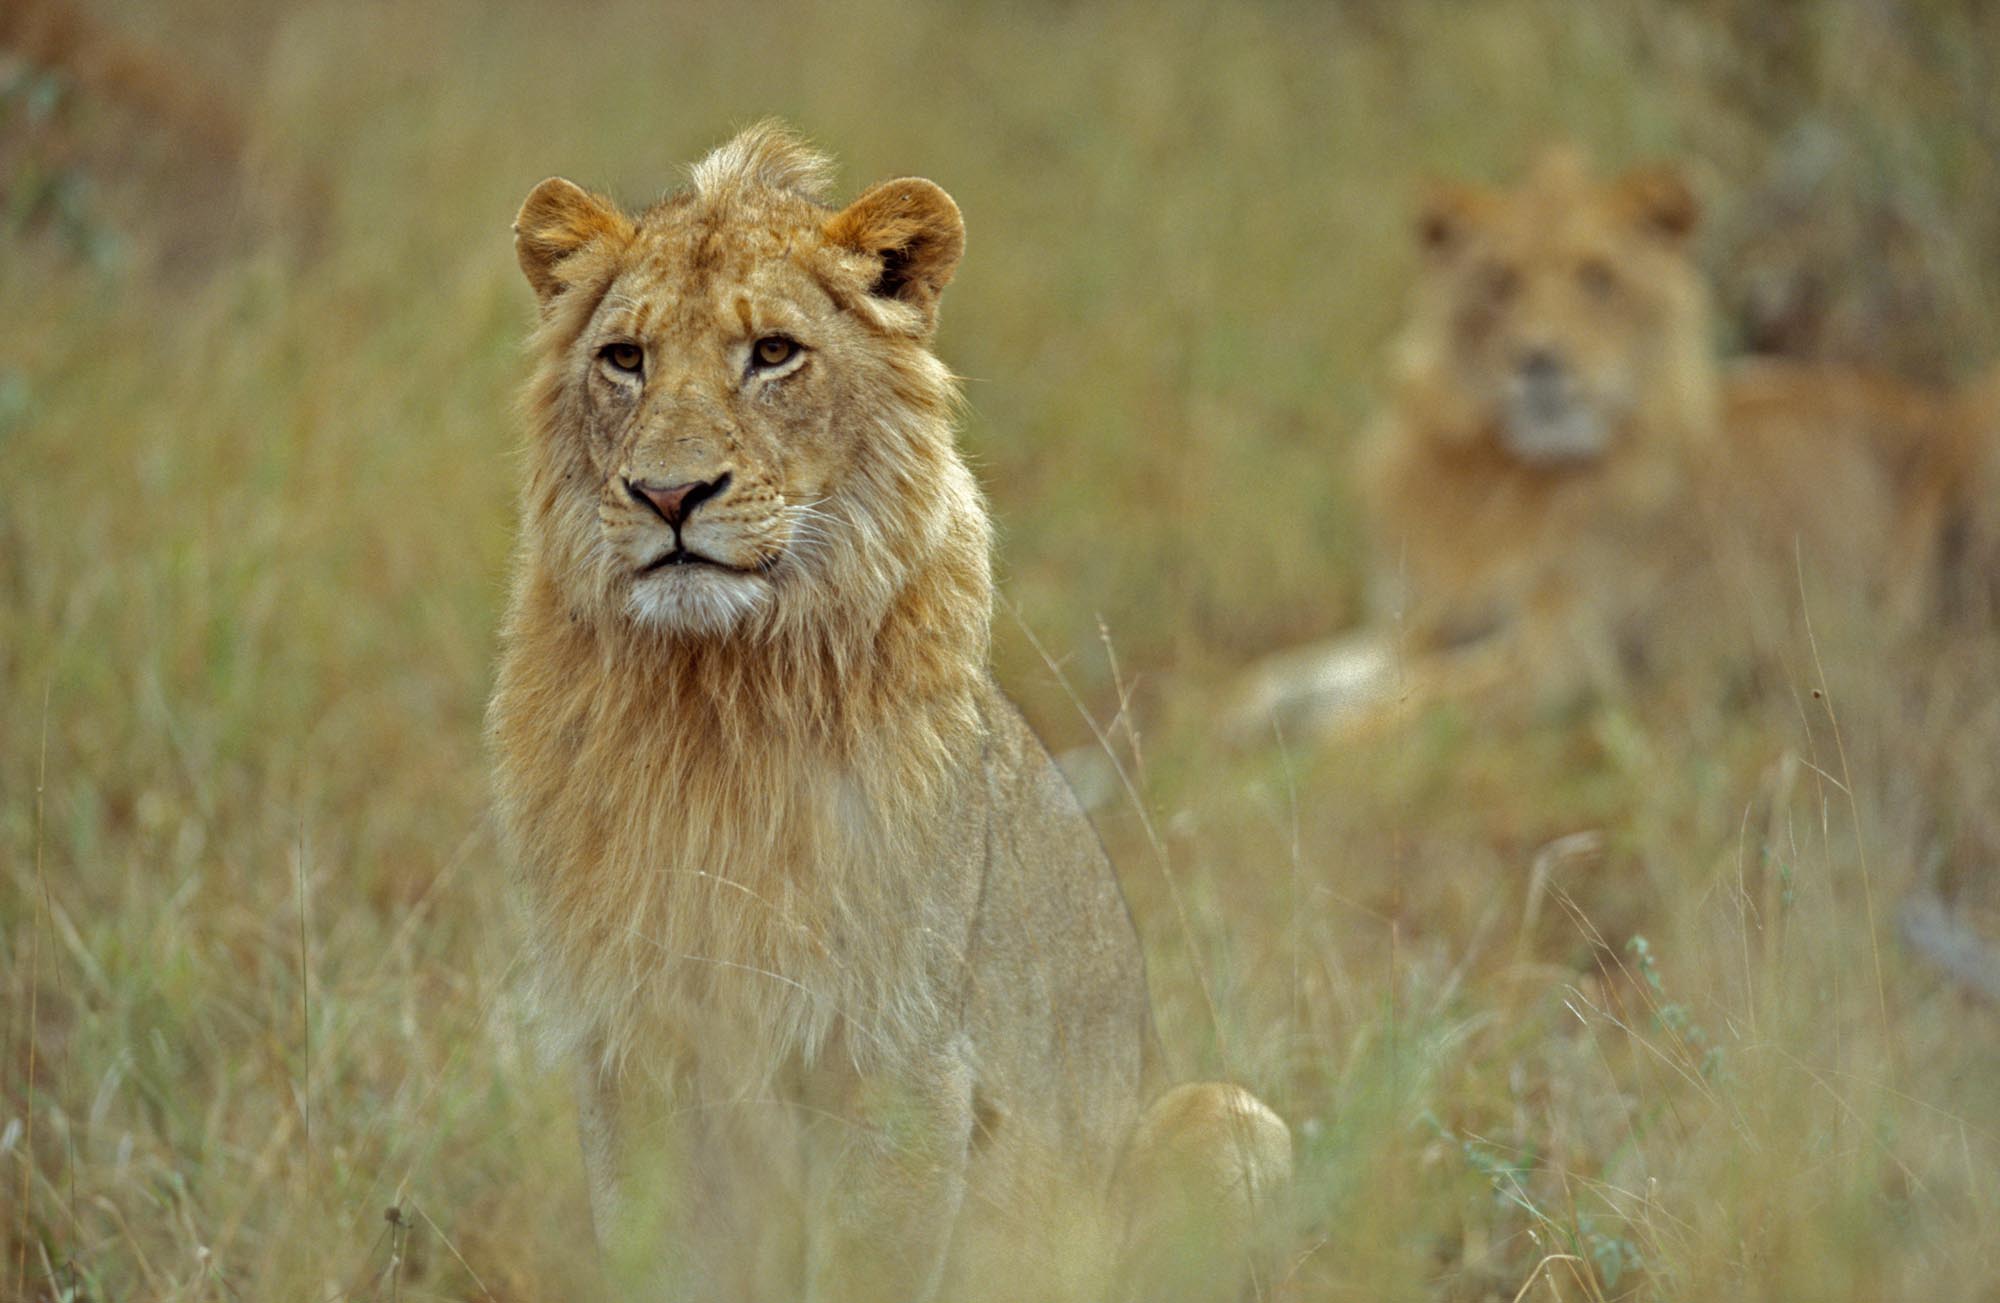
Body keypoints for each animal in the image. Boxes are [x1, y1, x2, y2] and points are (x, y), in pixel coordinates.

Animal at [486, 123, 1288, 1303]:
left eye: (774, 353)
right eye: (623, 359)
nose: (669, 496)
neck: (712, 701)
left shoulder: (898, 1054)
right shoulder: (629, 1047)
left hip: (1225, 1118)